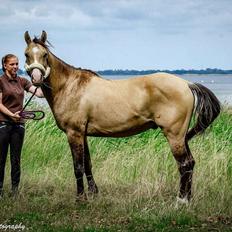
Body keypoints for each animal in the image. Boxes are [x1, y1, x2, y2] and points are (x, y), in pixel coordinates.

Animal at [23, 30, 221, 203]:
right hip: (181, 137)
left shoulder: (74, 133)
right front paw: (93, 193)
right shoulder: (82, 134)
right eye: (26, 55)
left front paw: (80, 198)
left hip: (175, 136)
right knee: (191, 163)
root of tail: (187, 84)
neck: (69, 86)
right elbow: (87, 164)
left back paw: (181, 200)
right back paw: (187, 198)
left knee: (185, 165)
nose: (36, 78)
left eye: (45, 55)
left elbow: (78, 167)